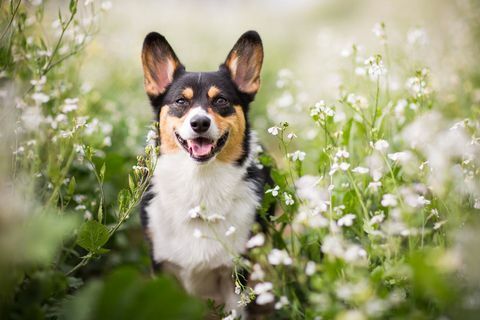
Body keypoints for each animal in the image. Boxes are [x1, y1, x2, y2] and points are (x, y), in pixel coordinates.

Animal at [141, 31, 270, 316]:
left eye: (220, 100)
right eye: (181, 101)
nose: (199, 122)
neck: (199, 185)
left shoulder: (234, 275)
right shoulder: (162, 268)